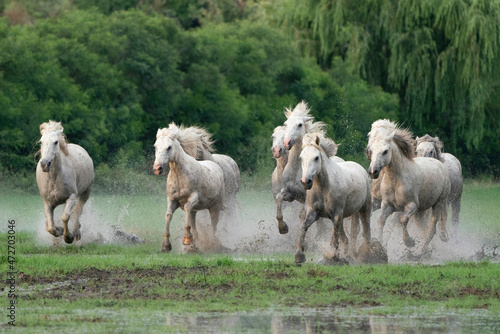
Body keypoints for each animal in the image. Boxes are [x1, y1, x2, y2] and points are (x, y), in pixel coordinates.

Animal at [151, 124, 224, 252]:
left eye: (169, 147)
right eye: (155, 146)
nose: (157, 168)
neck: (179, 174)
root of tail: (216, 166)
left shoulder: (194, 197)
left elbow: (187, 207)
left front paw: (187, 240)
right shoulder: (172, 200)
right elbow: (168, 215)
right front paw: (166, 245)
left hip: (215, 206)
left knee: (214, 226)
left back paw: (213, 245)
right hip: (197, 210)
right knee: (194, 223)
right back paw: (195, 246)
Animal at [366, 119, 452, 248]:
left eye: (385, 151)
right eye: (372, 150)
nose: (373, 171)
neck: (395, 180)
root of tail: (438, 162)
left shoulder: (412, 205)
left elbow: (403, 220)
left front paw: (409, 242)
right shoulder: (387, 205)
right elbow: (381, 220)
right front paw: (378, 245)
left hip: (439, 203)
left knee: (431, 230)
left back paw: (423, 250)